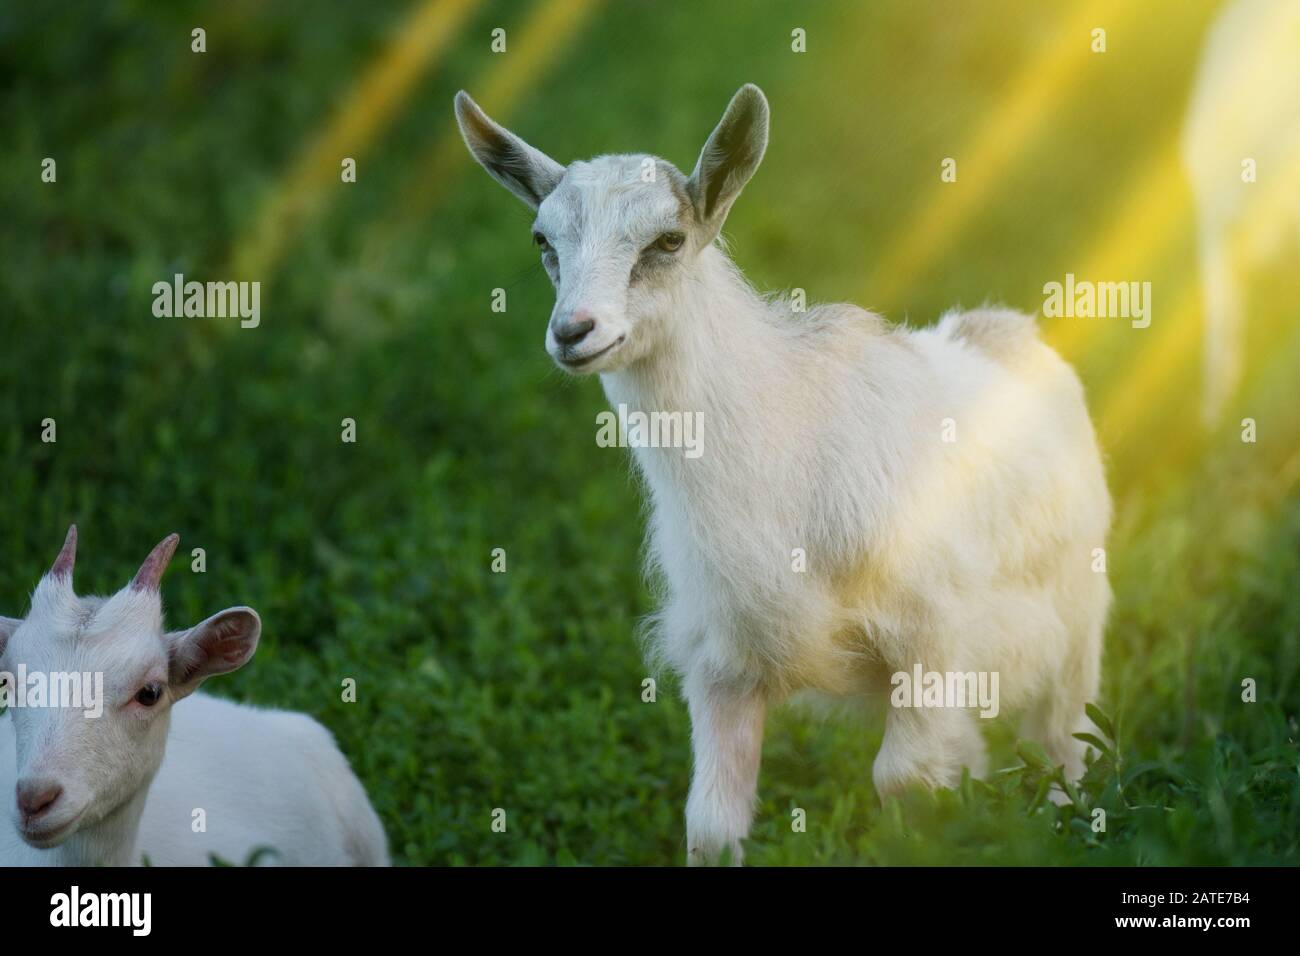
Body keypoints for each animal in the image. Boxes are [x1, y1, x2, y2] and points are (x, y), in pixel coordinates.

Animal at [457, 84, 1112, 864]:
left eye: (667, 241)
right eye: (543, 242)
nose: (573, 332)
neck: (783, 463)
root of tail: (1003, 330)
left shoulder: (932, 632)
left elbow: (903, 780)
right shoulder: (723, 660)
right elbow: (710, 824)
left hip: (1075, 618)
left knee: (1066, 744)